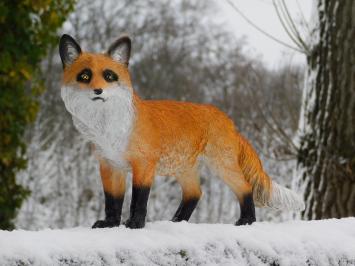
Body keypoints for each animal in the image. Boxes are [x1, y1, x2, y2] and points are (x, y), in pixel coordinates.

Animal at [59, 33, 306, 229]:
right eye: (84, 76)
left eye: (109, 76)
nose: (98, 91)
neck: (109, 130)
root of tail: (227, 120)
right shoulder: (110, 166)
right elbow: (113, 201)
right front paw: (110, 224)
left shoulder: (143, 165)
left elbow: (138, 200)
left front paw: (135, 224)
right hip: (184, 170)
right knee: (194, 194)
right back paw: (176, 222)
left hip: (221, 166)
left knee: (245, 189)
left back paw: (246, 221)